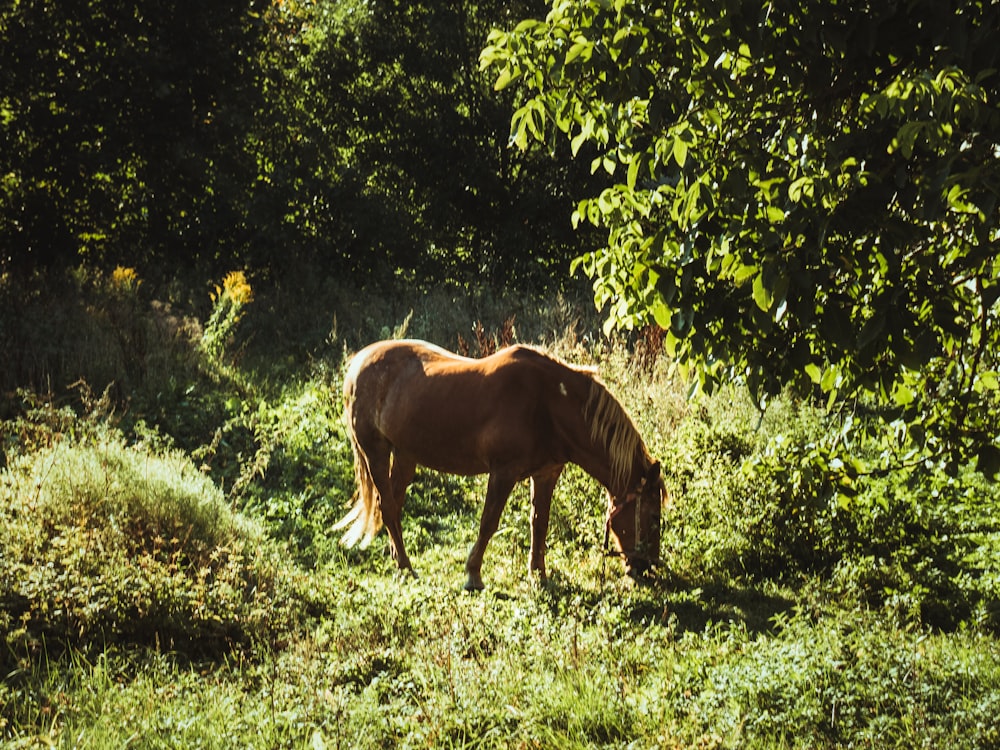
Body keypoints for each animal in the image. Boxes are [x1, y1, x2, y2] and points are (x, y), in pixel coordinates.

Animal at [334, 338, 664, 592]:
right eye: (651, 516)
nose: (646, 569)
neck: (548, 403)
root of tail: (357, 364)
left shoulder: (546, 474)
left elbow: (539, 523)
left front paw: (539, 576)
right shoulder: (503, 472)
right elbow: (489, 522)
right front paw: (473, 575)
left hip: (405, 456)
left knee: (393, 505)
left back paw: (398, 560)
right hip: (375, 452)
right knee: (388, 506)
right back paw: (405, 567)